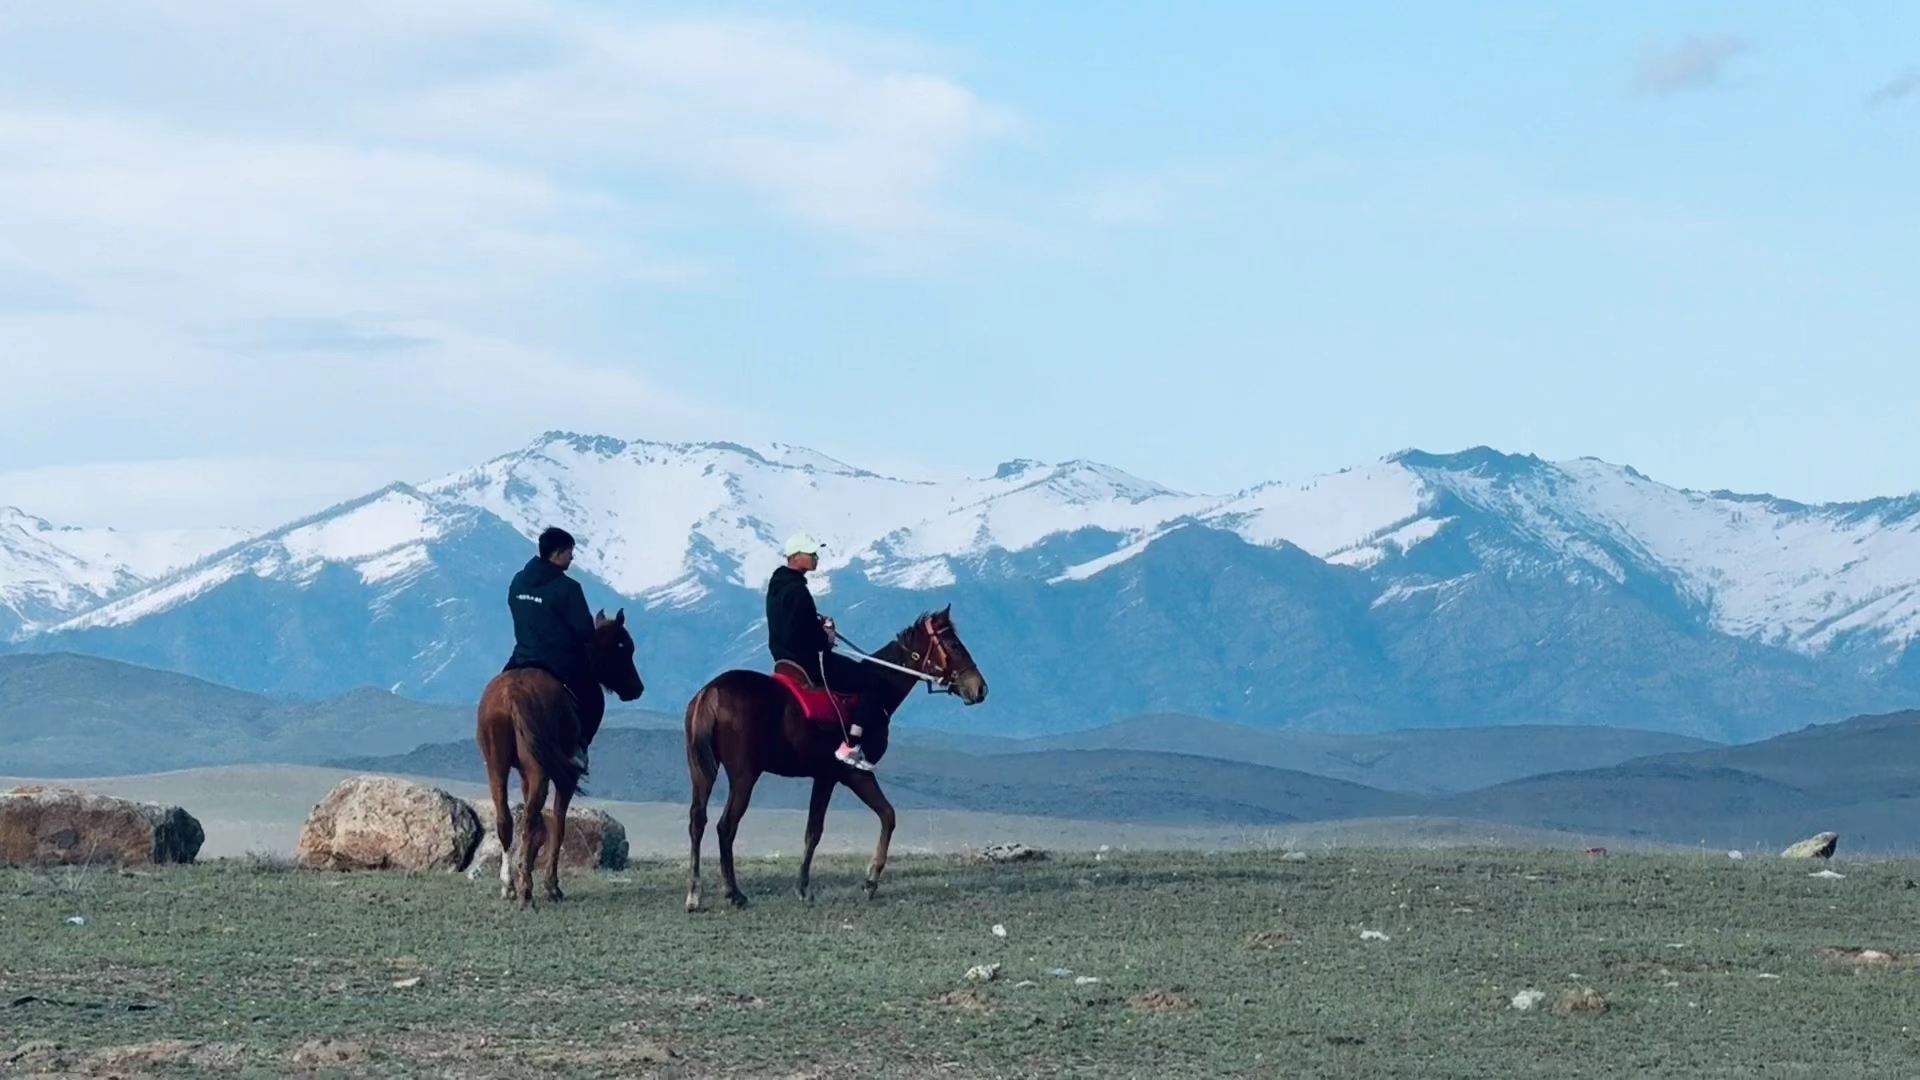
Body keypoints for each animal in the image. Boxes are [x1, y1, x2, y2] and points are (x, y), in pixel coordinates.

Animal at [472, 611, 645, 903]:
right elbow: (559, 826)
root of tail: (512, 693)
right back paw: (526, 891)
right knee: (529, 820)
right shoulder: (566, 776)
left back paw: (509, 886)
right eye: (624, 648)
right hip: (545, 770)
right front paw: (551, 886)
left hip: (496, 766)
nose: (637, 688)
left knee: (506, 819)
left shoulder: (524, 772)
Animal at [687, 607, 990, 907]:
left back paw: (694, 894)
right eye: (953, 644)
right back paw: (734, 893)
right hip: (744, 775)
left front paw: (862, 881)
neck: (881, 689)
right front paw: (828, 885)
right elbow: (821, 829)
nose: (980, 689)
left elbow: (883, 816)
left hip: (701, 771)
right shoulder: (845, 773)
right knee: (725, 826)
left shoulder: (838, 776)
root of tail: (709, 694)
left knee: (697, 821)